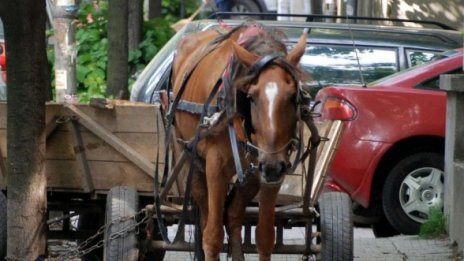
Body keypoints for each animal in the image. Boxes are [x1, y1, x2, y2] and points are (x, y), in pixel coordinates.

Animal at [170, 22, 308, 260]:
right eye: (251, 97)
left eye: (292, 97)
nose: (272, 166)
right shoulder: (216, 167)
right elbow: (212, 237)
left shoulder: (270, 173)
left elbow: (264, 237)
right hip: (190, 158)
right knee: (206, 217)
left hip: (250, 177)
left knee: (233, 216)